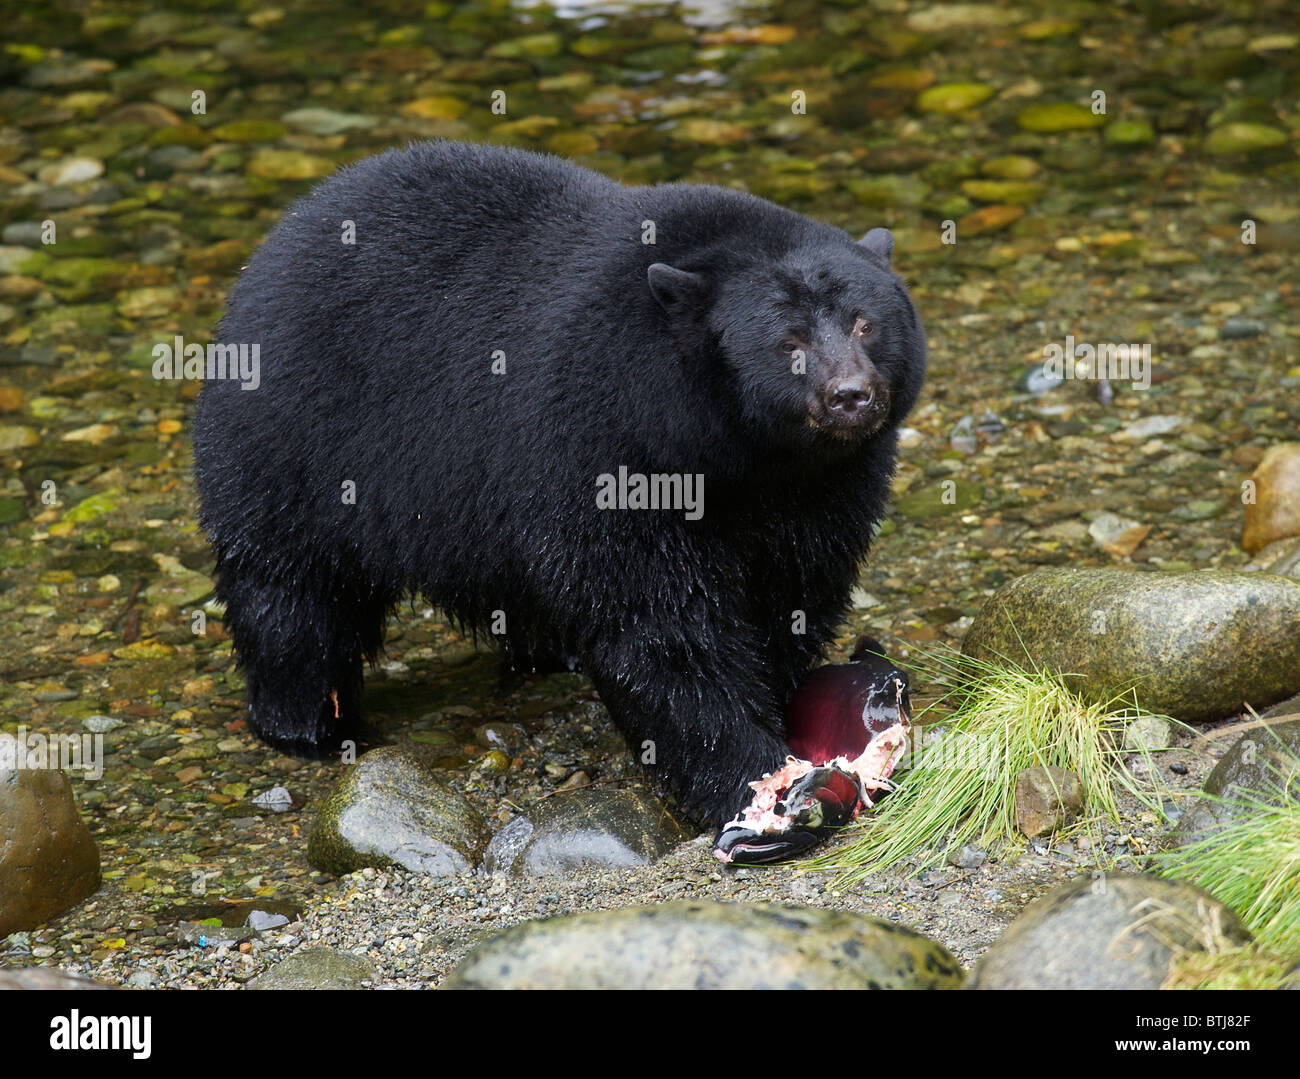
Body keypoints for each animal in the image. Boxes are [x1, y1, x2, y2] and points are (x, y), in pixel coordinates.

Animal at [192, 139, 926, 833]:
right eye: (789, 340)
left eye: (865, 322)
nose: (852, 395)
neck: (741, 453)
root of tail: (274, 246)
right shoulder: (606, 444)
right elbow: (660, 628)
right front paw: (753, 779)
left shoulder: (826, 483)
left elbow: (794, 588)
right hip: (292, 444)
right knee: (293, 597)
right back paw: (310, 725)